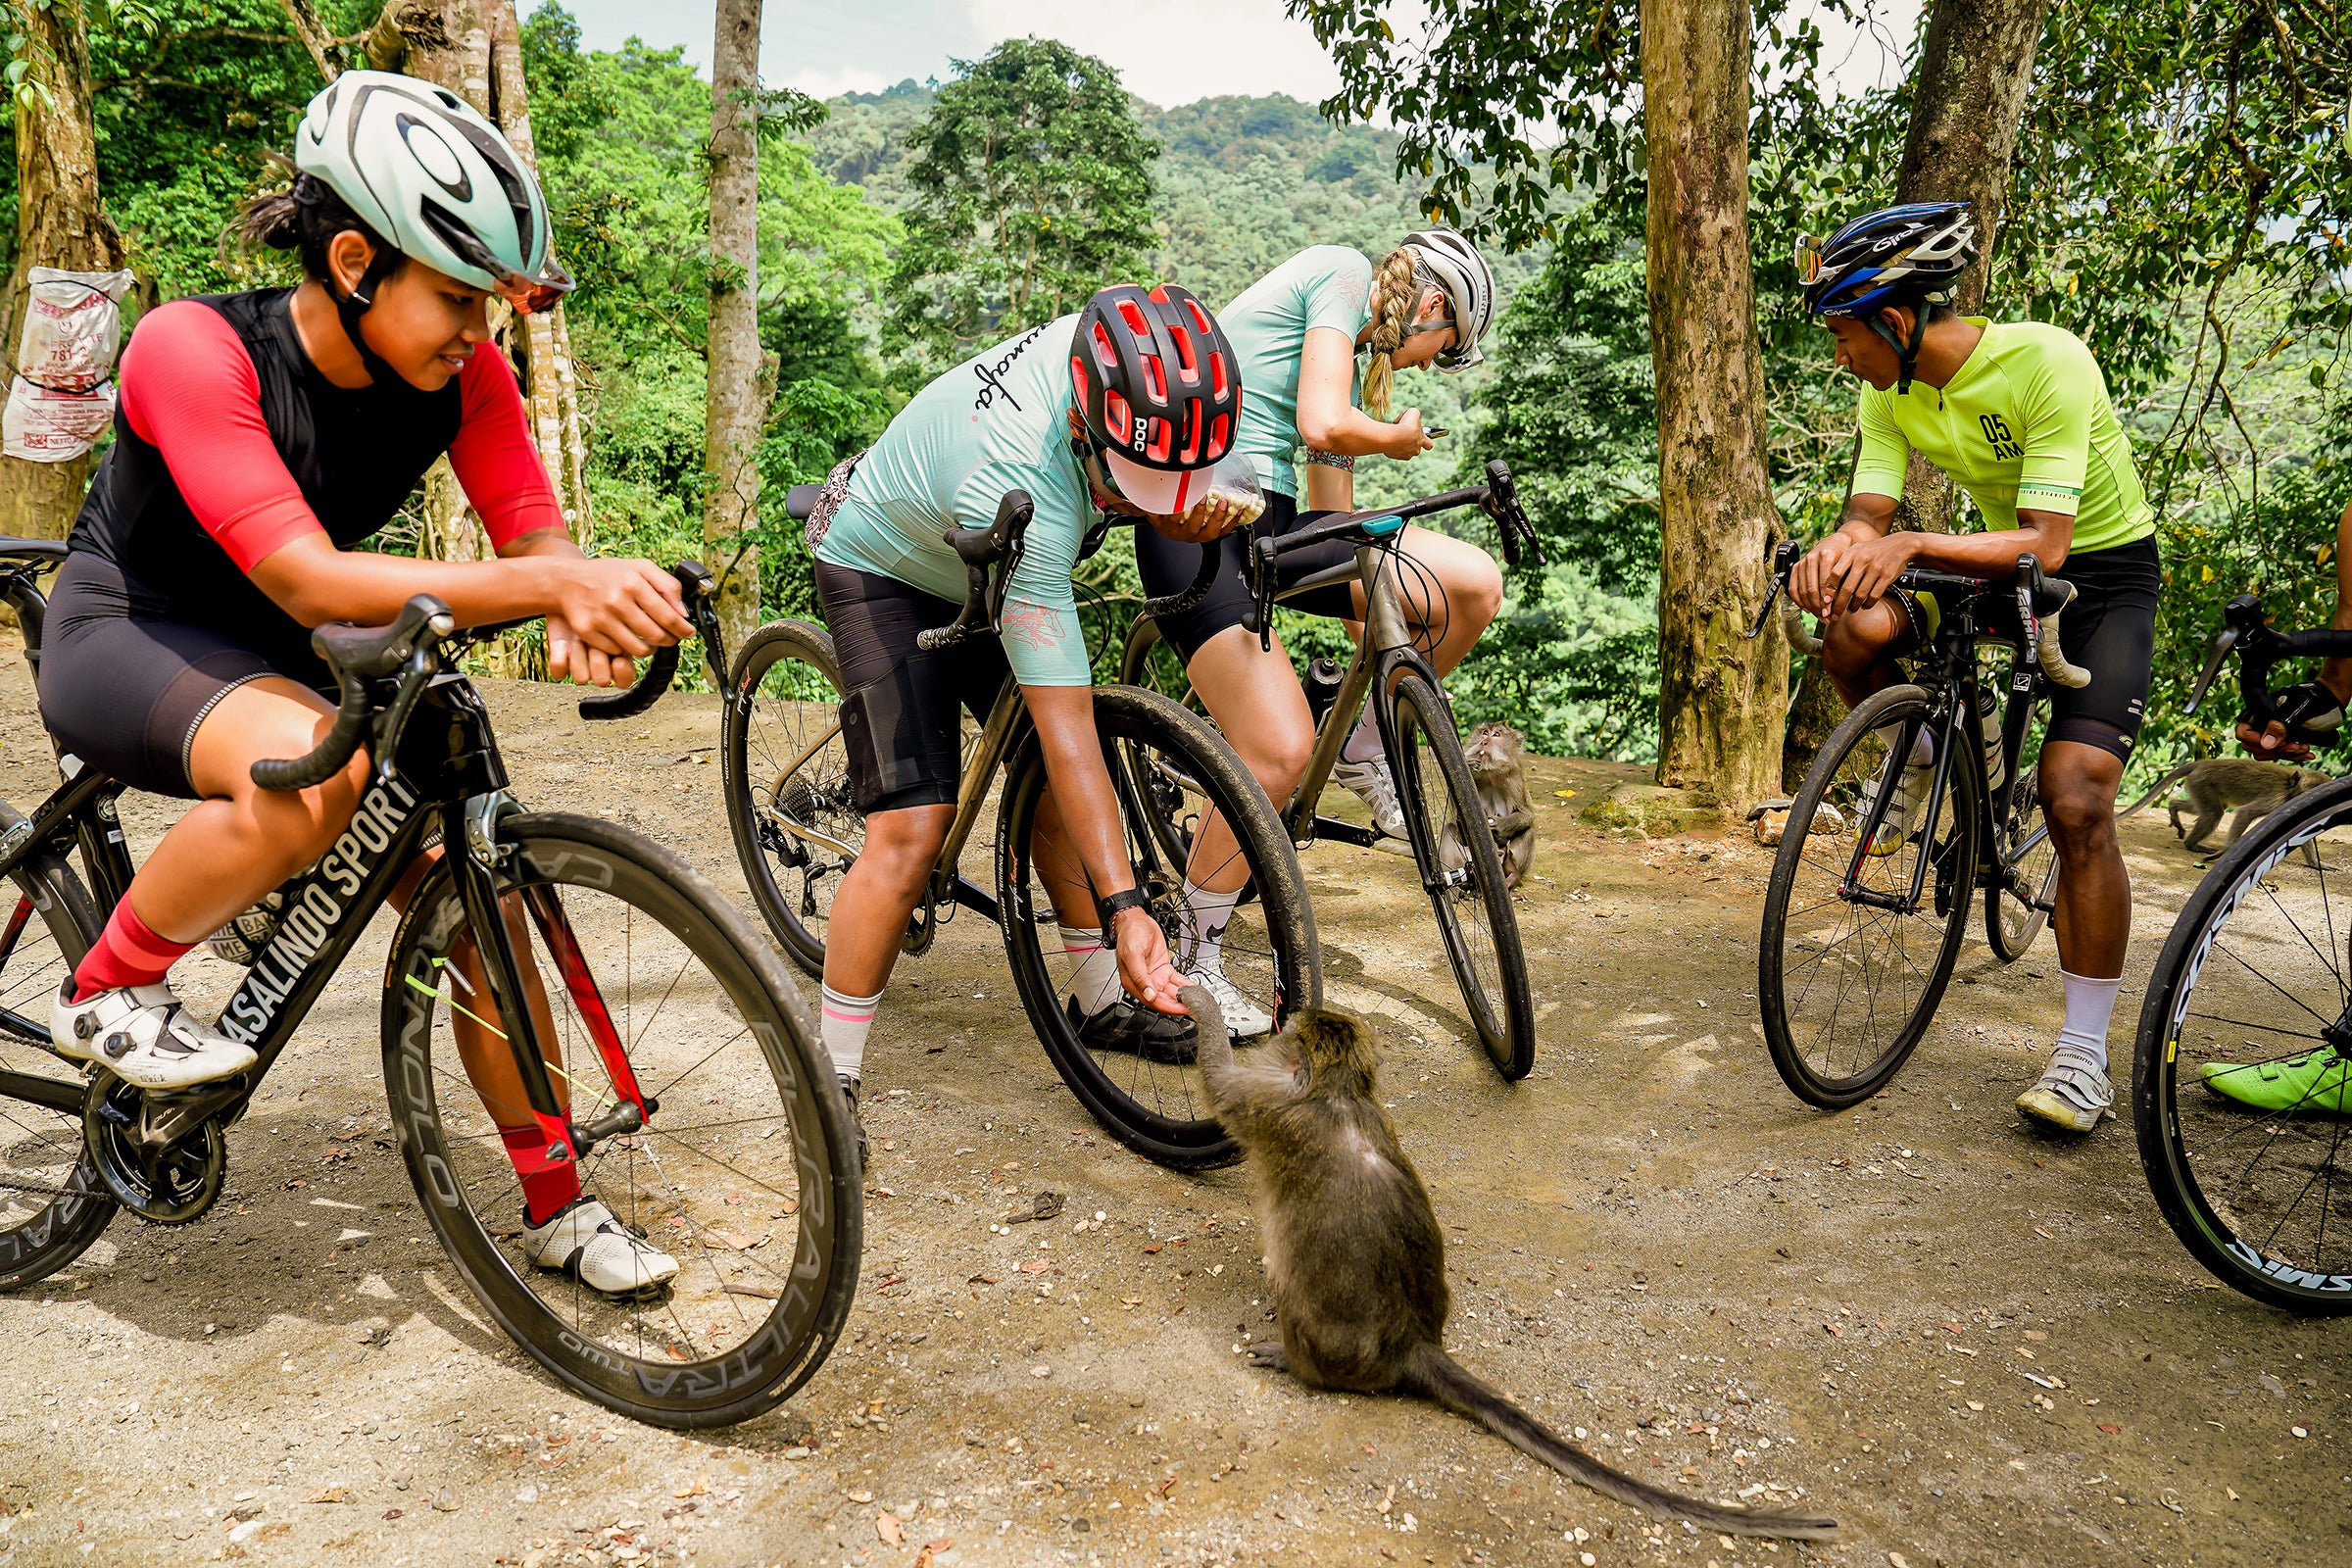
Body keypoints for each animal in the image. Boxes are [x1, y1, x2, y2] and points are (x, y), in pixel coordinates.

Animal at [1181, 983, 1839, 1542]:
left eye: (1298, 1032)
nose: (1291, 1011)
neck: (1338, 1093)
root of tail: (1412, 1344)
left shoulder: (1266, 1104)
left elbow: (1220, 1084)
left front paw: (1198, 1003)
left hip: (1322, 1339)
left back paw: (1290, 1361)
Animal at [1440, 721, 1535, 890]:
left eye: (1496, 734)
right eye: (1484, 732)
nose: (1484, 742)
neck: (1490, 772)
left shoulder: (1515, 778)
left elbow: (1526, 814)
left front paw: (1499, 824)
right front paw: (1469, 764)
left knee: (1528, 832)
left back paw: (1513, 876)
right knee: (1450, 829)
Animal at [2116, 758, 2330, 867]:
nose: (2317, 799)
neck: (2289, 787)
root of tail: (2202, 763)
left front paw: (2315, 864)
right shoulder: (2277, 797)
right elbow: (2245, 813)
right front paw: (2227, 851)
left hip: (2197, 785)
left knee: (2207, 809)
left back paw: (2174, 807)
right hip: (2202, 782)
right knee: (2213, 814)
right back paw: (2192, 844)